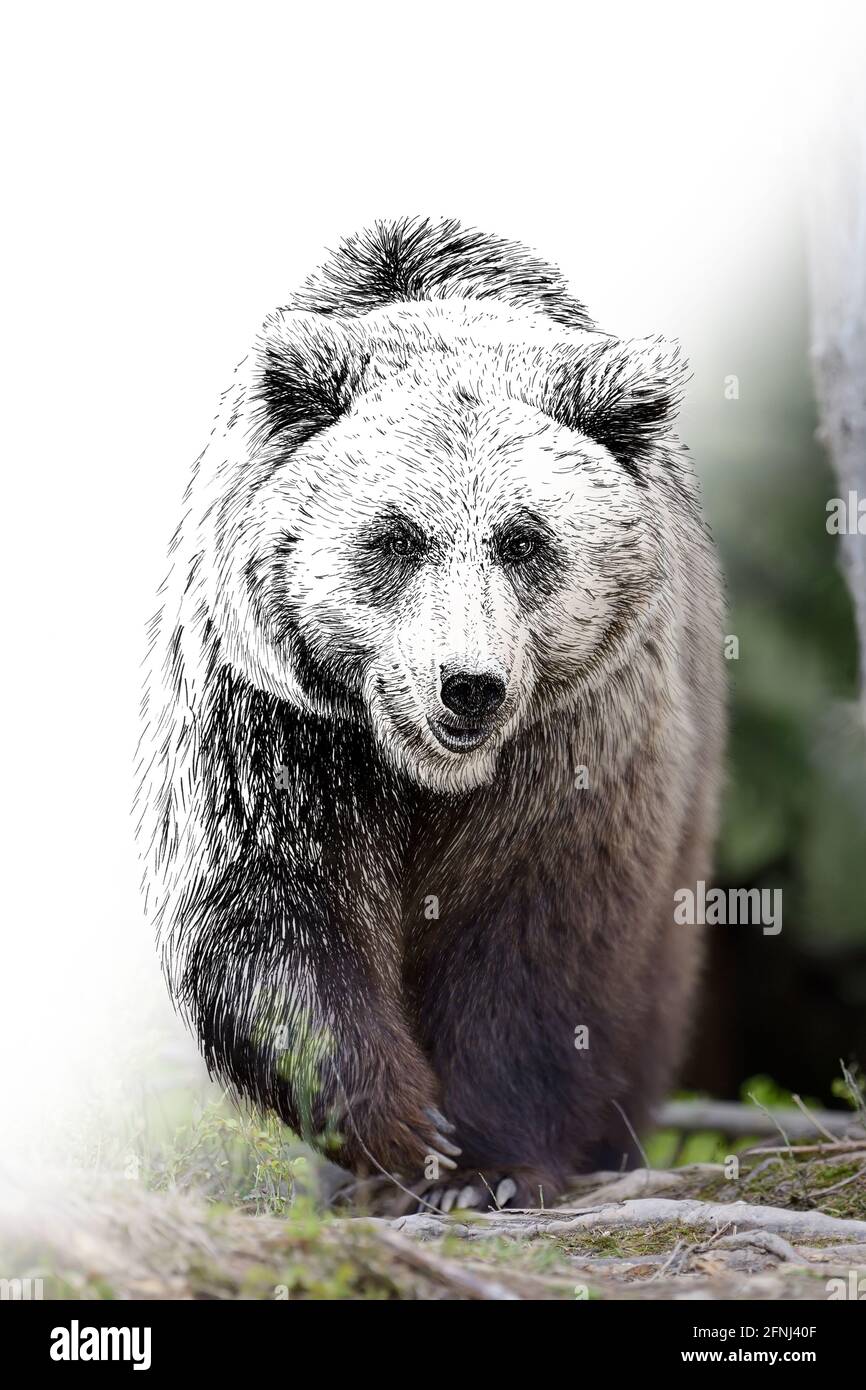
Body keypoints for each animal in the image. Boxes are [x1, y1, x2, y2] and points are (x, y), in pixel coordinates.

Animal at [135, 216, 725, 1211]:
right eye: (396, 537)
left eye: (524, 540)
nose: (467, 685)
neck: (424, 774)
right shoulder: (275, 729)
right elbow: (270, 912)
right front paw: (407, 1128)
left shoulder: (577, 746)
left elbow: (539, 940)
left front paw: (491, 1164)